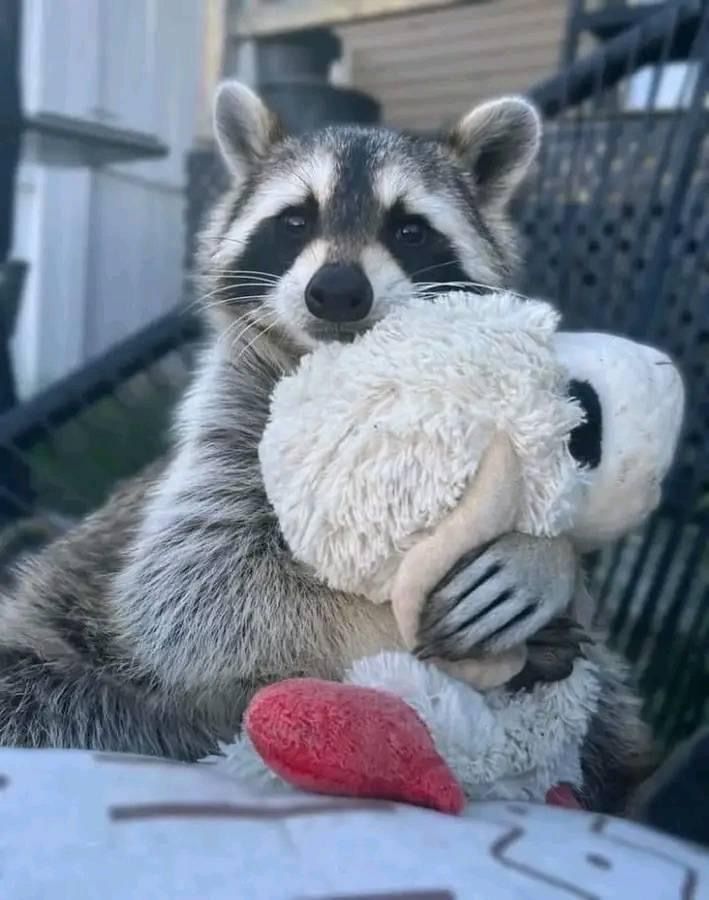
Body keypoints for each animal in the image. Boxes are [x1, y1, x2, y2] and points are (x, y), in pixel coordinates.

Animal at [0, 82, 653, 810]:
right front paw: (392, 628)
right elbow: (195, 592)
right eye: (294, 221)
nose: (337, 291)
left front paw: (547, 557)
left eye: (409, 229)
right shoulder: (228, 426)